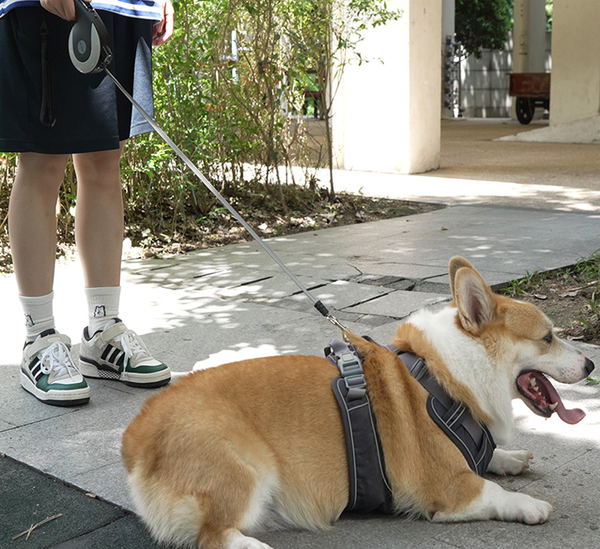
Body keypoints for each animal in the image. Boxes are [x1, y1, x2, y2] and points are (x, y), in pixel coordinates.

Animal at [120, 256, 592, 548]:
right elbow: (493, 490)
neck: (448, 374)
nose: (590, 364)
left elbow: (491, 458)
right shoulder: (447, 489)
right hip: (247, 467)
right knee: (214, 536)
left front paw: (508, 457)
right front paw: (530, 506)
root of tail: (136, 435)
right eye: (548, 337)